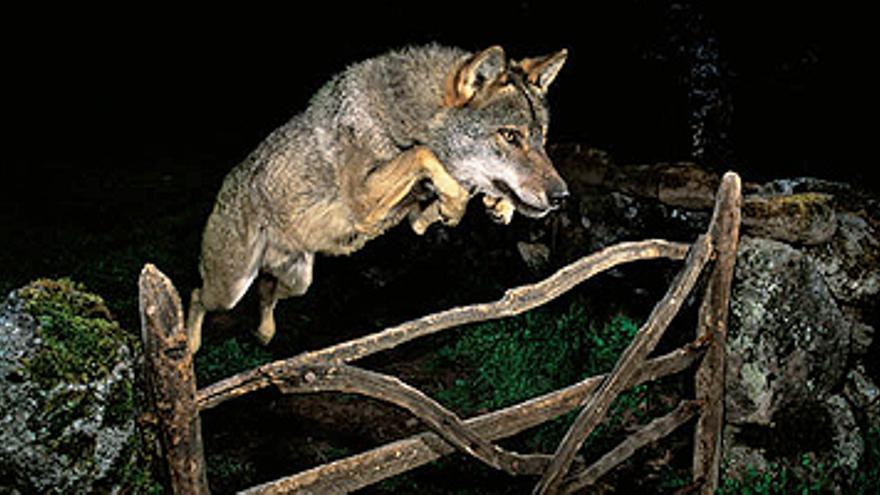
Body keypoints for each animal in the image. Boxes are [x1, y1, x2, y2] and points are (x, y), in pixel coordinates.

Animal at [186, 43, 572, 352]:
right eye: (510, 136)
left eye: (541, 138)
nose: (562, 196)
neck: (407, 117)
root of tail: (227, 185)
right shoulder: (364, 199)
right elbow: (423, 155)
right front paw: (456, 204)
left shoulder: (412, 213)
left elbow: (441, 196)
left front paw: (495, 205)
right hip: (230, 290)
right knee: (196, 296)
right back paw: (187, 346)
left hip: (299, 281)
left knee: (266, 292)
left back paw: (264, 334)